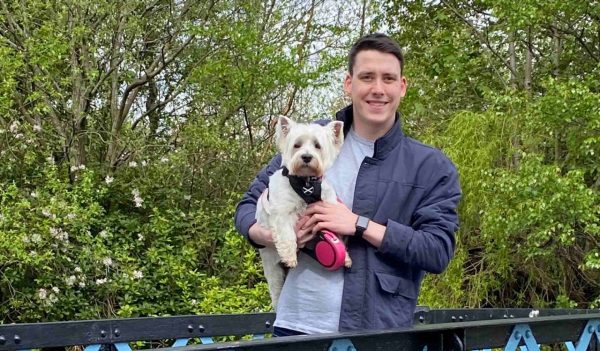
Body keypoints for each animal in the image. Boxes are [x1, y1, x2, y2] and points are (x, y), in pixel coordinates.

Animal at [256, 115, 350, 308]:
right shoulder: (282, 215)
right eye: (297, 145)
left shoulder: (328, 210)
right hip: (273, 271)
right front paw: (290, 256)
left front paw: (345, 256)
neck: (306, 185)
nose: (306, 157)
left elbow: (335, 234)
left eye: (317, 145)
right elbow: (287, 236)